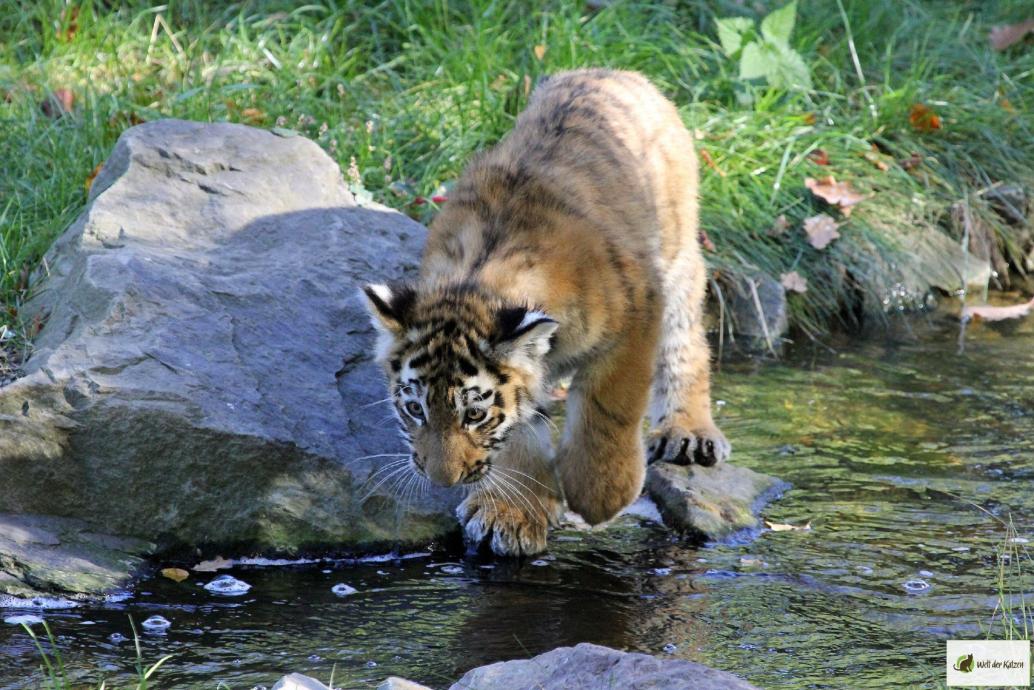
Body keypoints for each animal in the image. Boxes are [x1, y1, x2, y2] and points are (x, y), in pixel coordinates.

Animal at [361, 68, 729, 556]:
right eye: (414, 409)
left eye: (473, 415)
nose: (443, 480)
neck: (477, 281)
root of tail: (610, 71)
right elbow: (521, 428)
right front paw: (512, 514)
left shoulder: (637, 312)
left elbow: (607, 409)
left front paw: (599, 496)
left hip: (677, 259)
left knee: (686, 345)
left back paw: (688, 434)